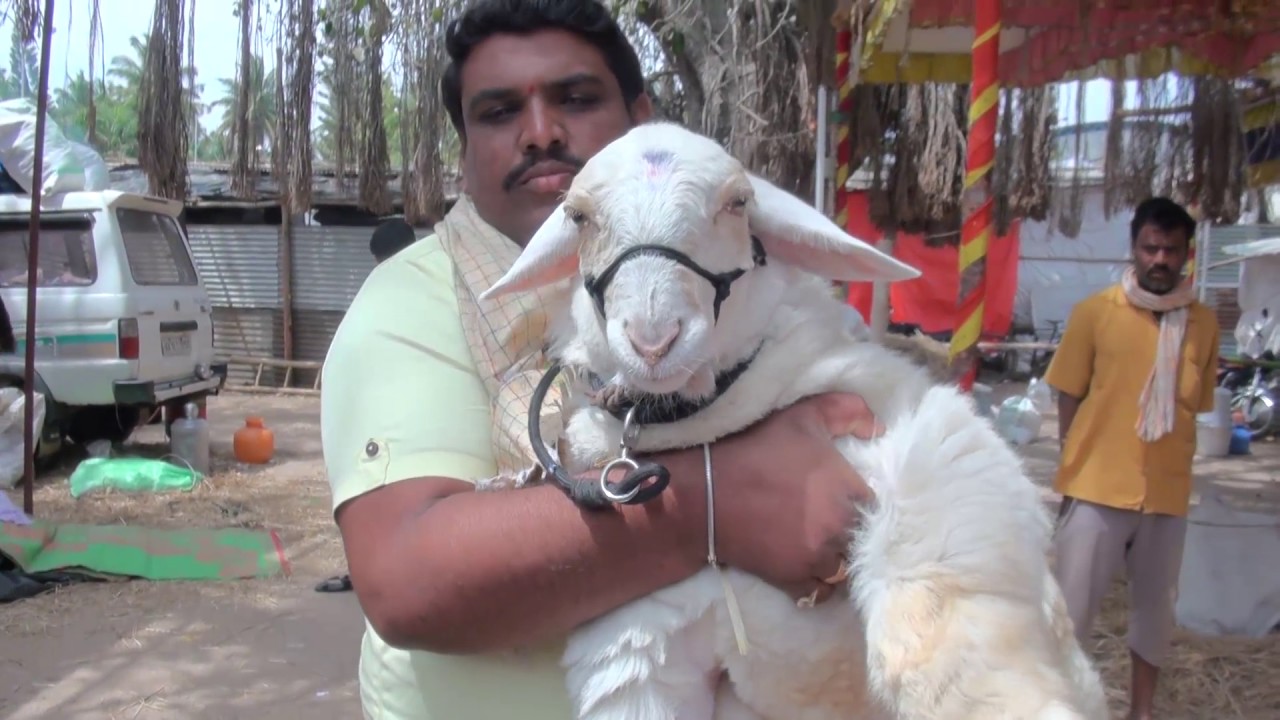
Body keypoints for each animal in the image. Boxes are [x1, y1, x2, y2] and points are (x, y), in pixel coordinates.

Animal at [479, 121, 1109, 720]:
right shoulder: (637, 648)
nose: (653, 341)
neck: (709, 417)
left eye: (737, 203)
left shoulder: (930, 452)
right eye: (579, 216)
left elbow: (933, 637)